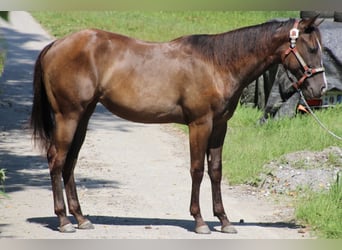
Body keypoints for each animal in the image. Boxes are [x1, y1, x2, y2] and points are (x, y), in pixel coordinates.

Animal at [31, 16, 326, 234]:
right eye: (312, 48)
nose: (320, 88)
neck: (217, 64)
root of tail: (55, 45)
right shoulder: (199, 124)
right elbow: (197, 170)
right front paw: (200, 221)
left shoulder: (219, 126)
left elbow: (215, 171)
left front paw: (224, 220)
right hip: (68, 116)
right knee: (56, 160)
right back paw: (64, 220)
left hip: (83, 116)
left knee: (70, 162)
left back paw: (81, 218)